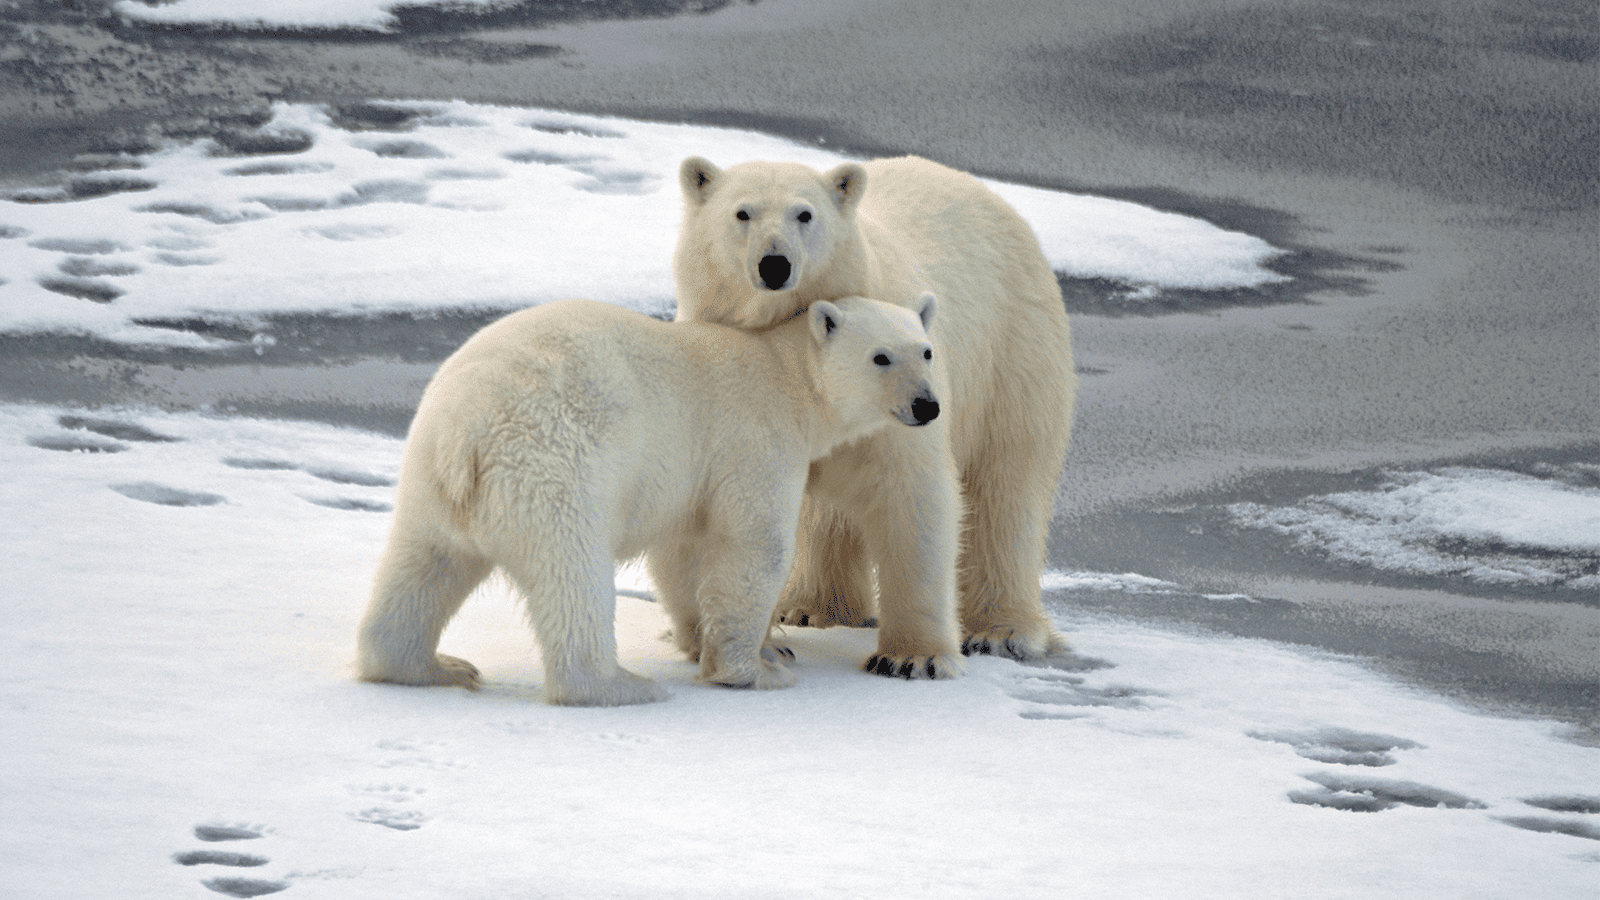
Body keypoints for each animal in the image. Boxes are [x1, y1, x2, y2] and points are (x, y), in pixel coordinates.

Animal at [357, 293, 941, 706]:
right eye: (881, 357)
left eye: (927, 350)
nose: (927, 405)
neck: (784, 370)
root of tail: (464, 429)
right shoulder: (754, 439)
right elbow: (753, 545)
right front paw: (756, 669)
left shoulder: (688, 481)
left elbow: (684, 551)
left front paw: (731, 645)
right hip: (553, 464)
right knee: (572, 575)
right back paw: (620, 685)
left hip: (430, 482)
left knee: (421, 567)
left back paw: (431, 666)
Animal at [674, 154, 1078, 677]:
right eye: (742, 213)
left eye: (805, 214)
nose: (775, 263)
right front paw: (754, 643)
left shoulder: (898, 395)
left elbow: (912, 493)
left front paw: (913, 658)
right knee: (826, 517)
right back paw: (810, 606)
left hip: (1013, 349)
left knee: (1006, 486)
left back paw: (1004, 631)